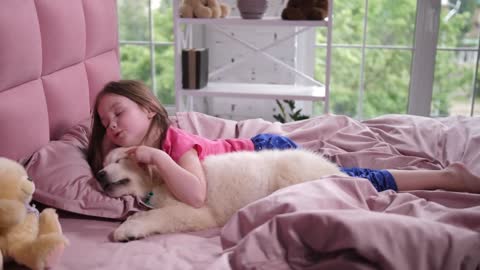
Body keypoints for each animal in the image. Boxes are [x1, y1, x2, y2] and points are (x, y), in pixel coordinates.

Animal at [98, 147, 344, 242]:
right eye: (103, 164)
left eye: (119, 161)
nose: (99, 174)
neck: (157, 183)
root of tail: (335, 171)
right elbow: (142, 213)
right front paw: (130, 223)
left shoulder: (196, 211)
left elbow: (158, 215)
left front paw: (128, 230)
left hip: (292, 172)